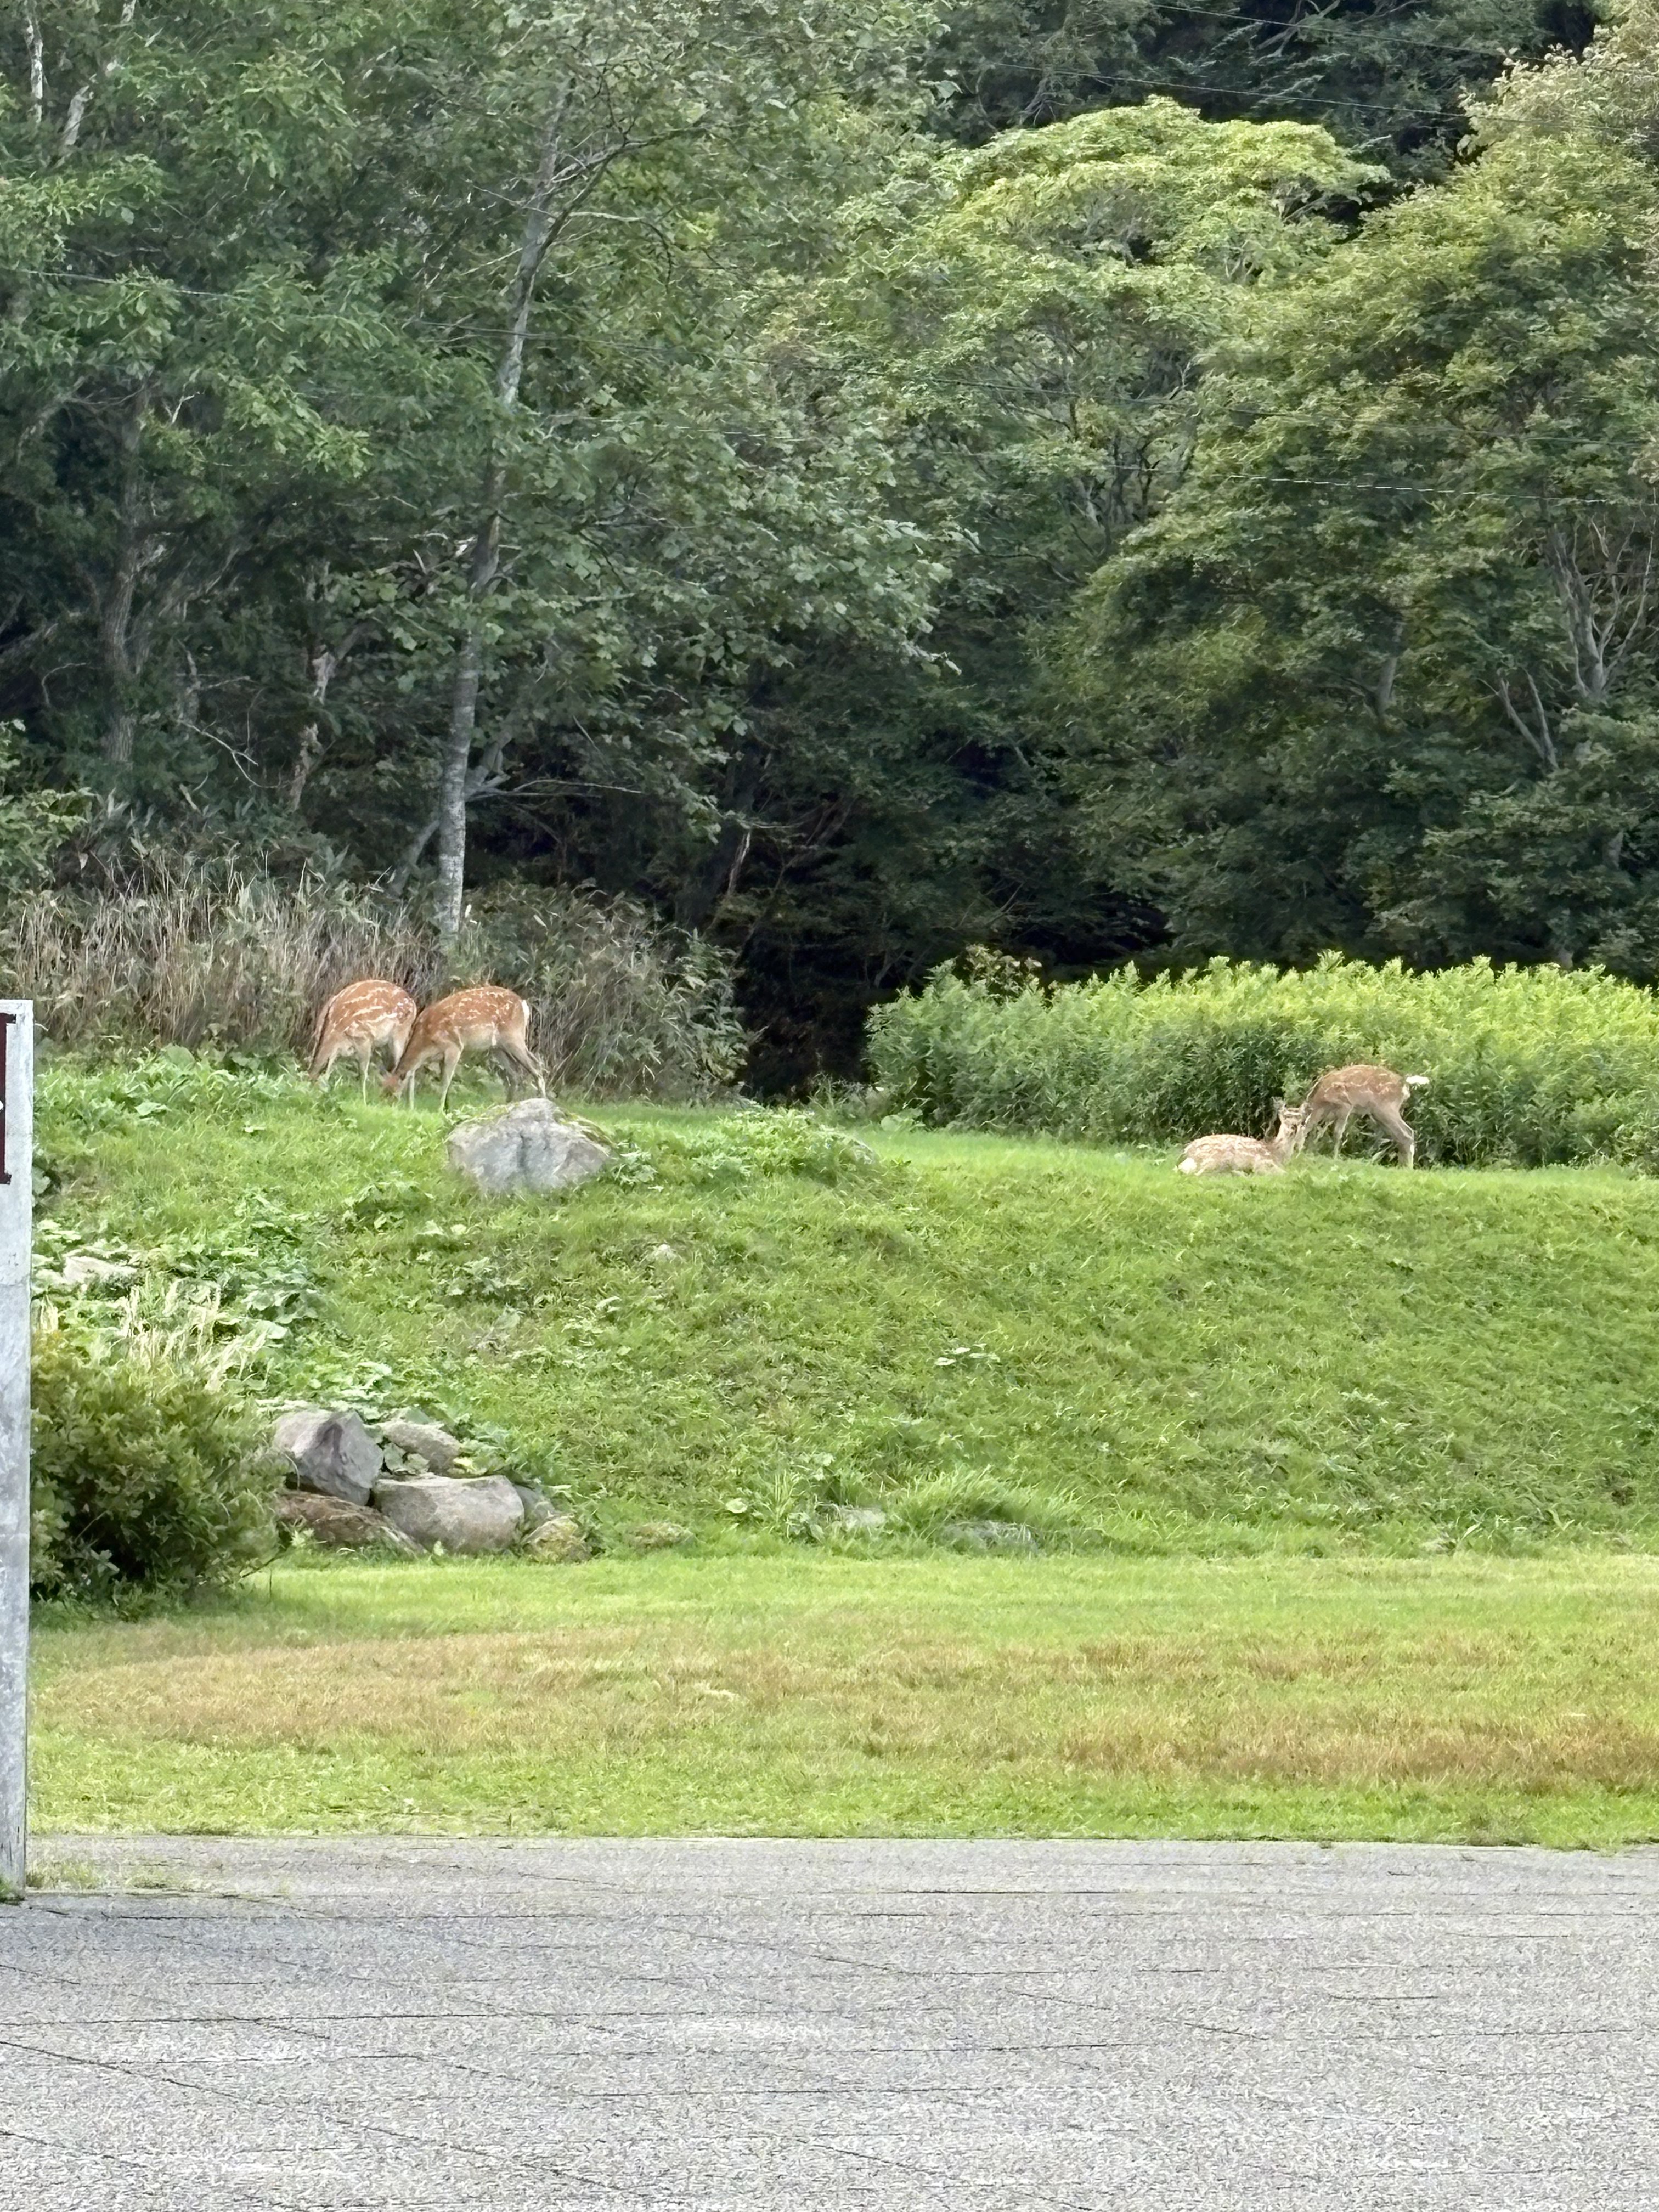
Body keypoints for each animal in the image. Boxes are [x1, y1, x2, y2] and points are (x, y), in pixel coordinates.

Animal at [308, 980, 418, 1099]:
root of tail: (414, 1005)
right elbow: (329, 1071)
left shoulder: (364, 1038)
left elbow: (363, 1073)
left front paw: (363, 1098)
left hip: (401, 1033)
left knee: (406, 1066)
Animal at [382, 985, 545, 1109]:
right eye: (383, 1091)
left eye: (393, 1093)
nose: (387, 1107)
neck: (426, 1040)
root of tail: (523, 1005)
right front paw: (444, 1108)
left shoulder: (454, 1047)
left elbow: (445, 1082)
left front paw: (440, 1110)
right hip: (497, 1047)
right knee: (515, 1072)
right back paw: (508, 1103)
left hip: (514, 1036)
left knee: (536, 1064)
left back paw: (543, 1099)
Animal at [1178, 1099, 1306, 1176]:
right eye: (1285, 1116)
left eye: (1300, 1118)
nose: (1294, 1126)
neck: (1277, 1154)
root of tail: (1187, 1152)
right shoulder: (1262, 1161)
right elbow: (1285, 1174)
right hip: (1216, 1158)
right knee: (1199, 1174)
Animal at [1294, 1063, 1429, 1168]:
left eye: (1294, 1132)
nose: (1295, 1150)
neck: (1321, 1101)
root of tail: (1404, 1085)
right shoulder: (1329, 1115)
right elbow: (1320, 1133)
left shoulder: (1346, 1105)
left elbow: (1337, 1133)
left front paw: (1335, 1157)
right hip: (1379, 1114)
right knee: (1403, 1135)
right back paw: (1403, 1166)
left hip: (1385, 1108)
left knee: (1407, 1134)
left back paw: (1409, 1168)